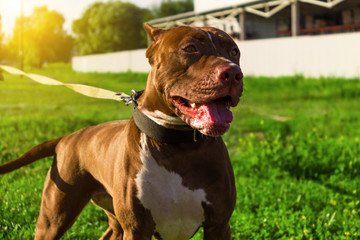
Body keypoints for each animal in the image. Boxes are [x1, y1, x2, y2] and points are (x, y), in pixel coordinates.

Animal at [0, 23, 243, 239]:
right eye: (190, 48)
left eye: (234, 51)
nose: (233, 73)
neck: (176, 145)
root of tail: (67, 138)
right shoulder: (136, 229)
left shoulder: (219, 225)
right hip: (54, 216)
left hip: (110, 216)